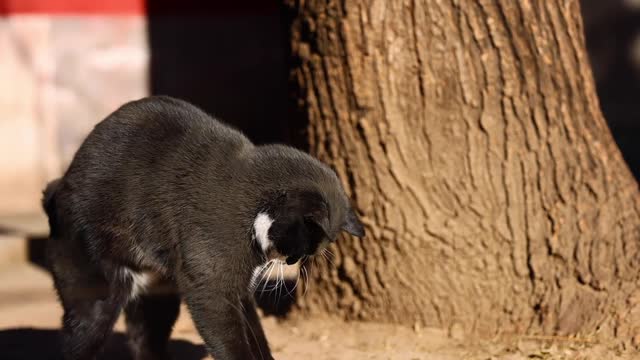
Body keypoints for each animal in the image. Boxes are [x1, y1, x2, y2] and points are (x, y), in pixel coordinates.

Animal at [42, 96, 364, 360]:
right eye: (300, 245)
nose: (290, 262)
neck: (252, 207)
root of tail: (57, 186)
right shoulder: (211, 287)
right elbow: (232, 342)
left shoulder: (240, 290)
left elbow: (257, 335)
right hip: (96, 294)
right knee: (78, 342)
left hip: (158, 298)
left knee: (145, 343)